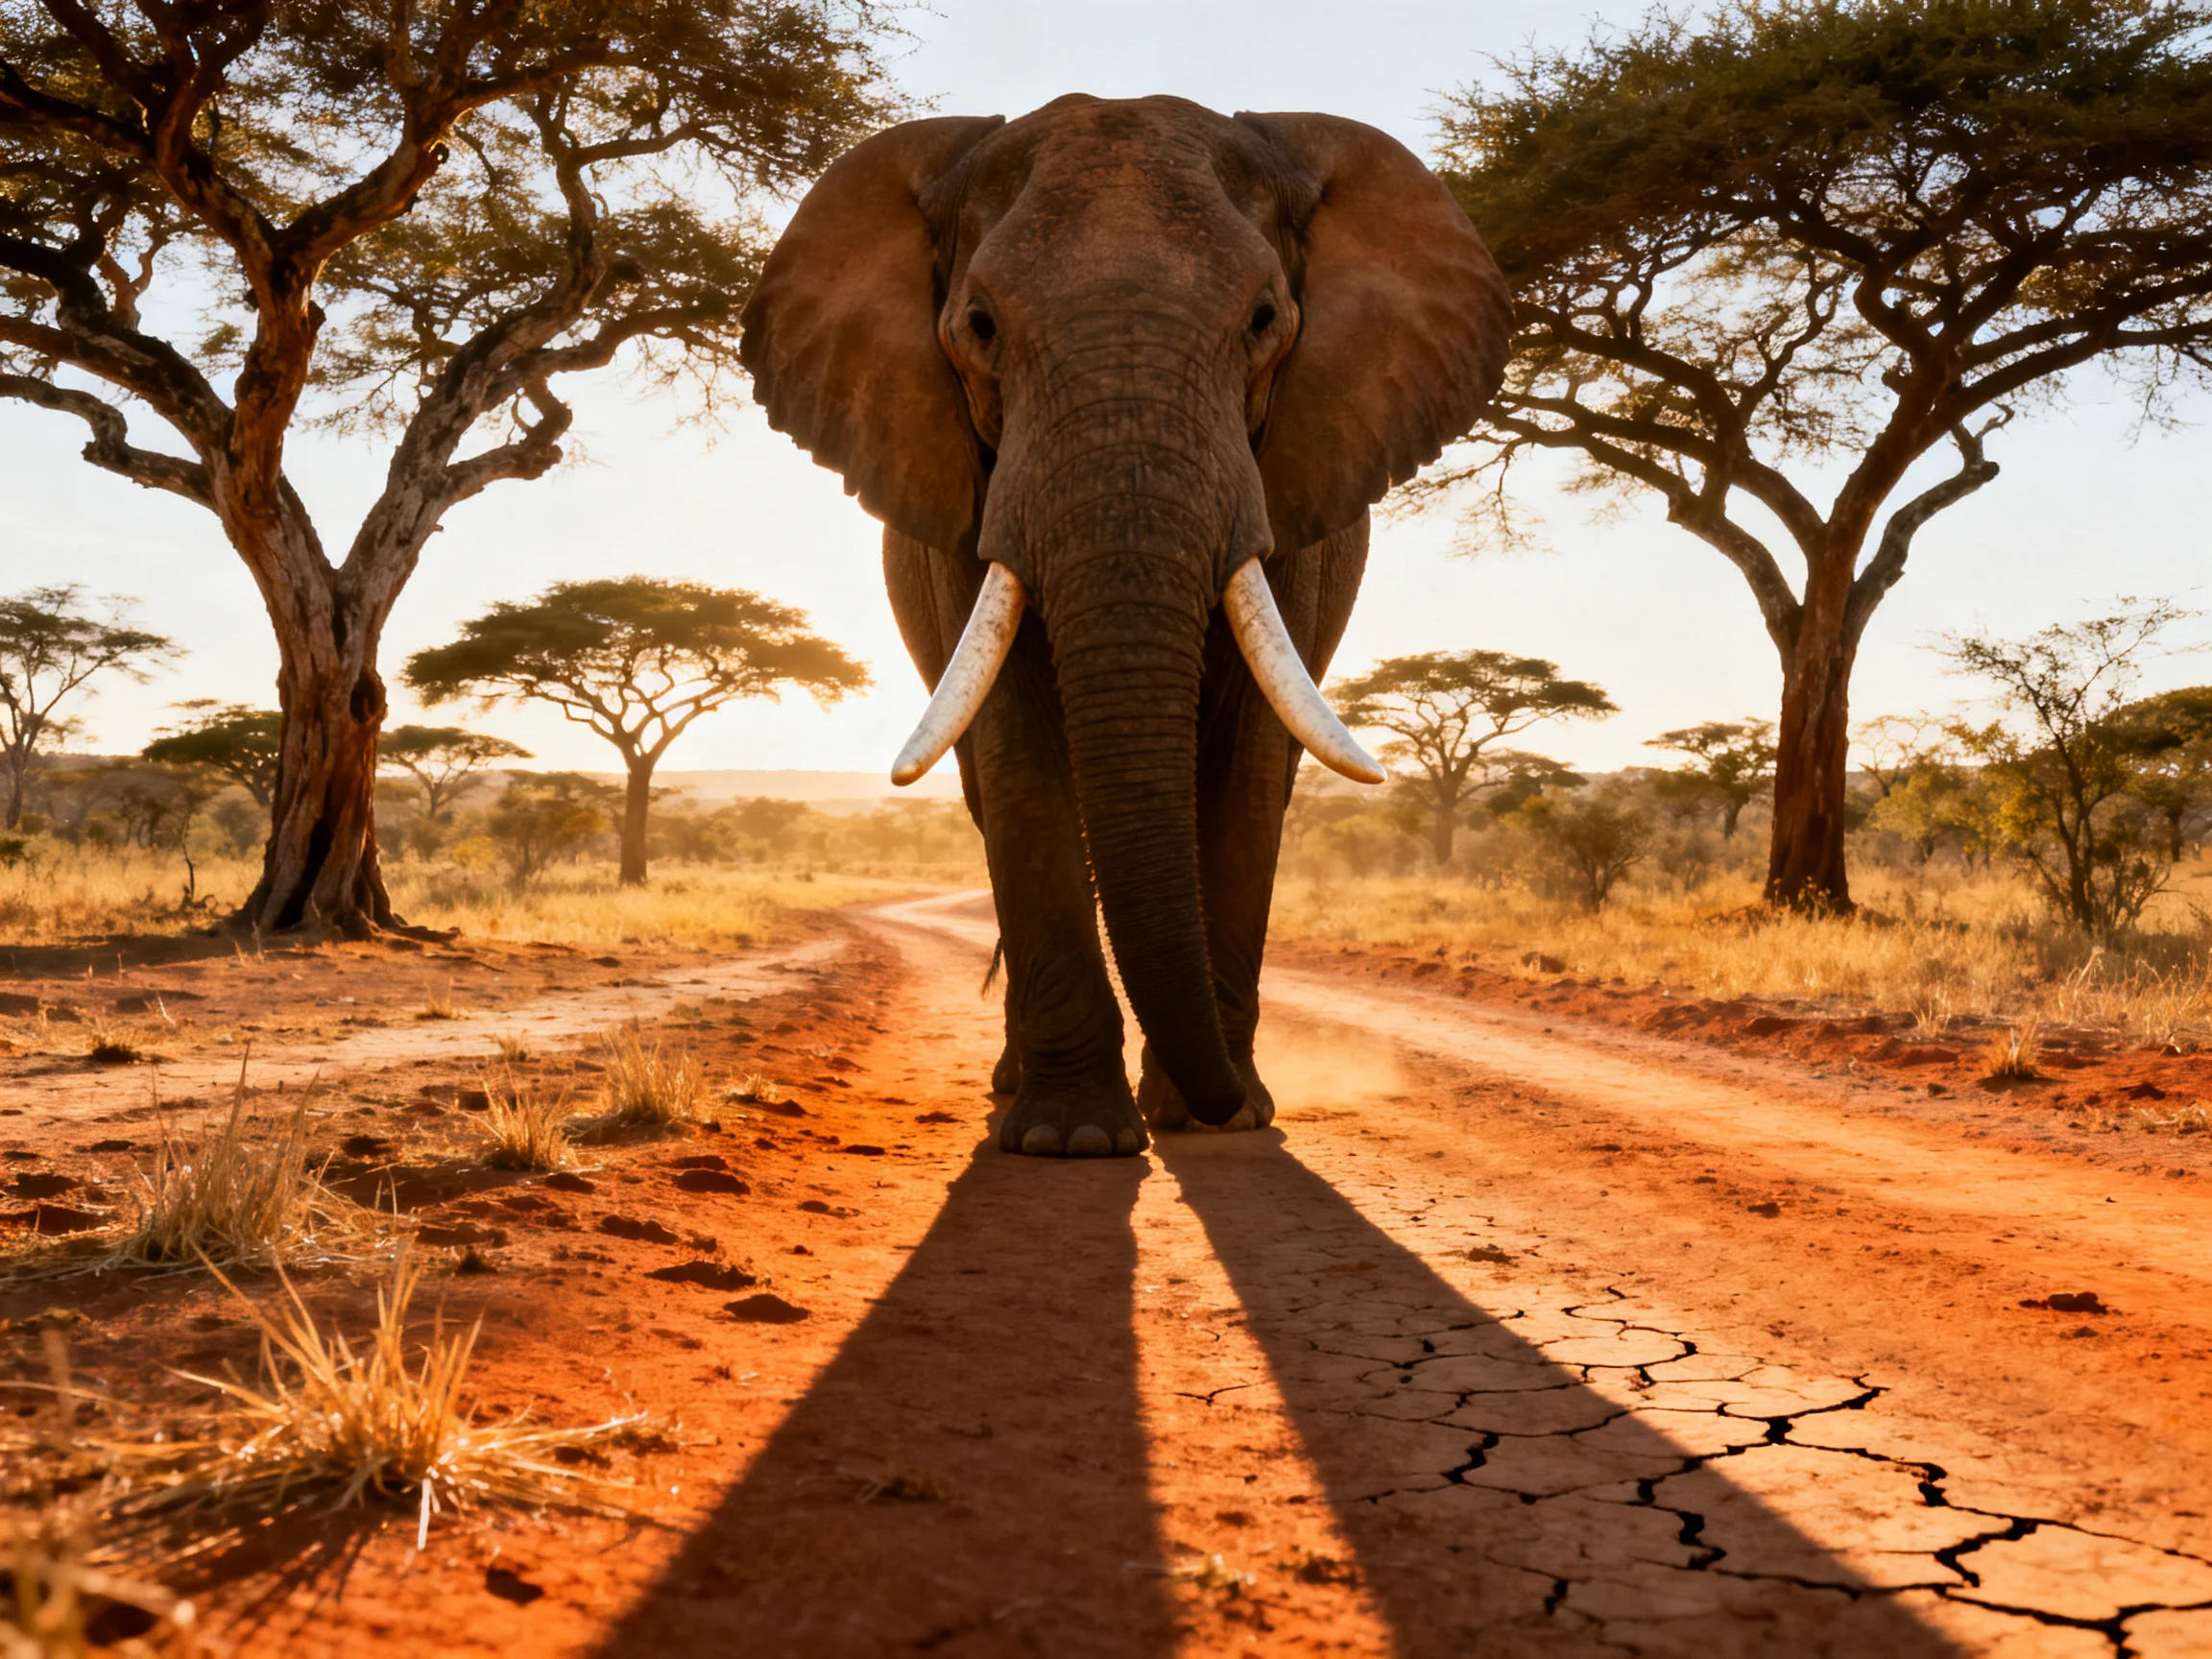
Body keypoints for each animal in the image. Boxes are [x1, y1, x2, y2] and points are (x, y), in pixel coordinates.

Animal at [739, 95, 1511, 1157]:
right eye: (980, 325)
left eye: (1264, 319)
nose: (1221, 1098)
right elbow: (1018, 758)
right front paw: (1072, 1139)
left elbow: (1249, 768)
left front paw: (1221, 1118)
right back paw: (1016, 1086)